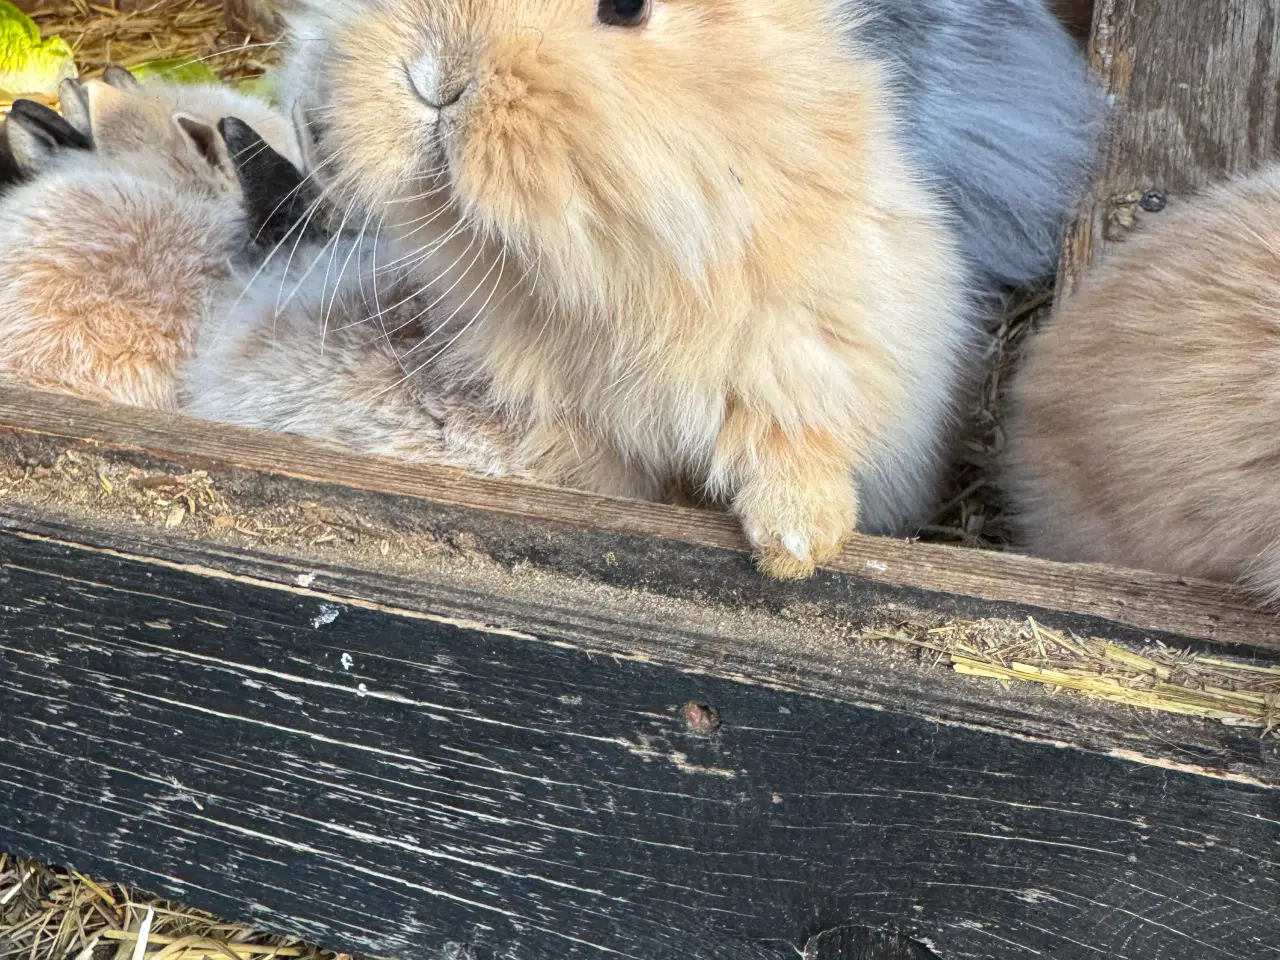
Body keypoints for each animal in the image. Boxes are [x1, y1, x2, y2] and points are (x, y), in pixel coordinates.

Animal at [267, 0, 977, 578]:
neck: (614, 273)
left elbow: (795, 446)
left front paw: (796, 550)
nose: (434, 80)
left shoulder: (813, 356)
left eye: (626, 5)